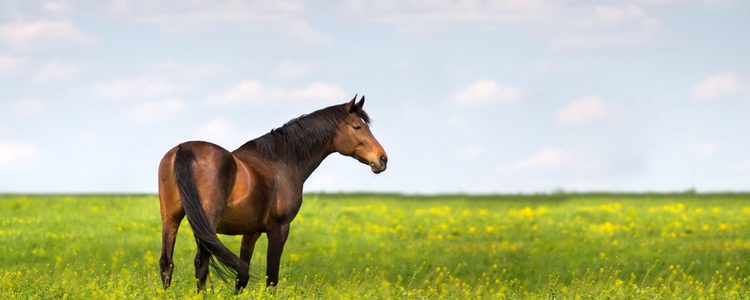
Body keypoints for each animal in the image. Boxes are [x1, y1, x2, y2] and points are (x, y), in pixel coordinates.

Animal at [157, 95, 388, 290]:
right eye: (357, 126)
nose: (382, 159)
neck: (281, 161)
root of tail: (184, 149)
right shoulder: (279, 229)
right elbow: (271, 278)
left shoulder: (251, 232)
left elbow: (242, 276)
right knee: (201, 263)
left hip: (171, 219)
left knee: (167, 263)